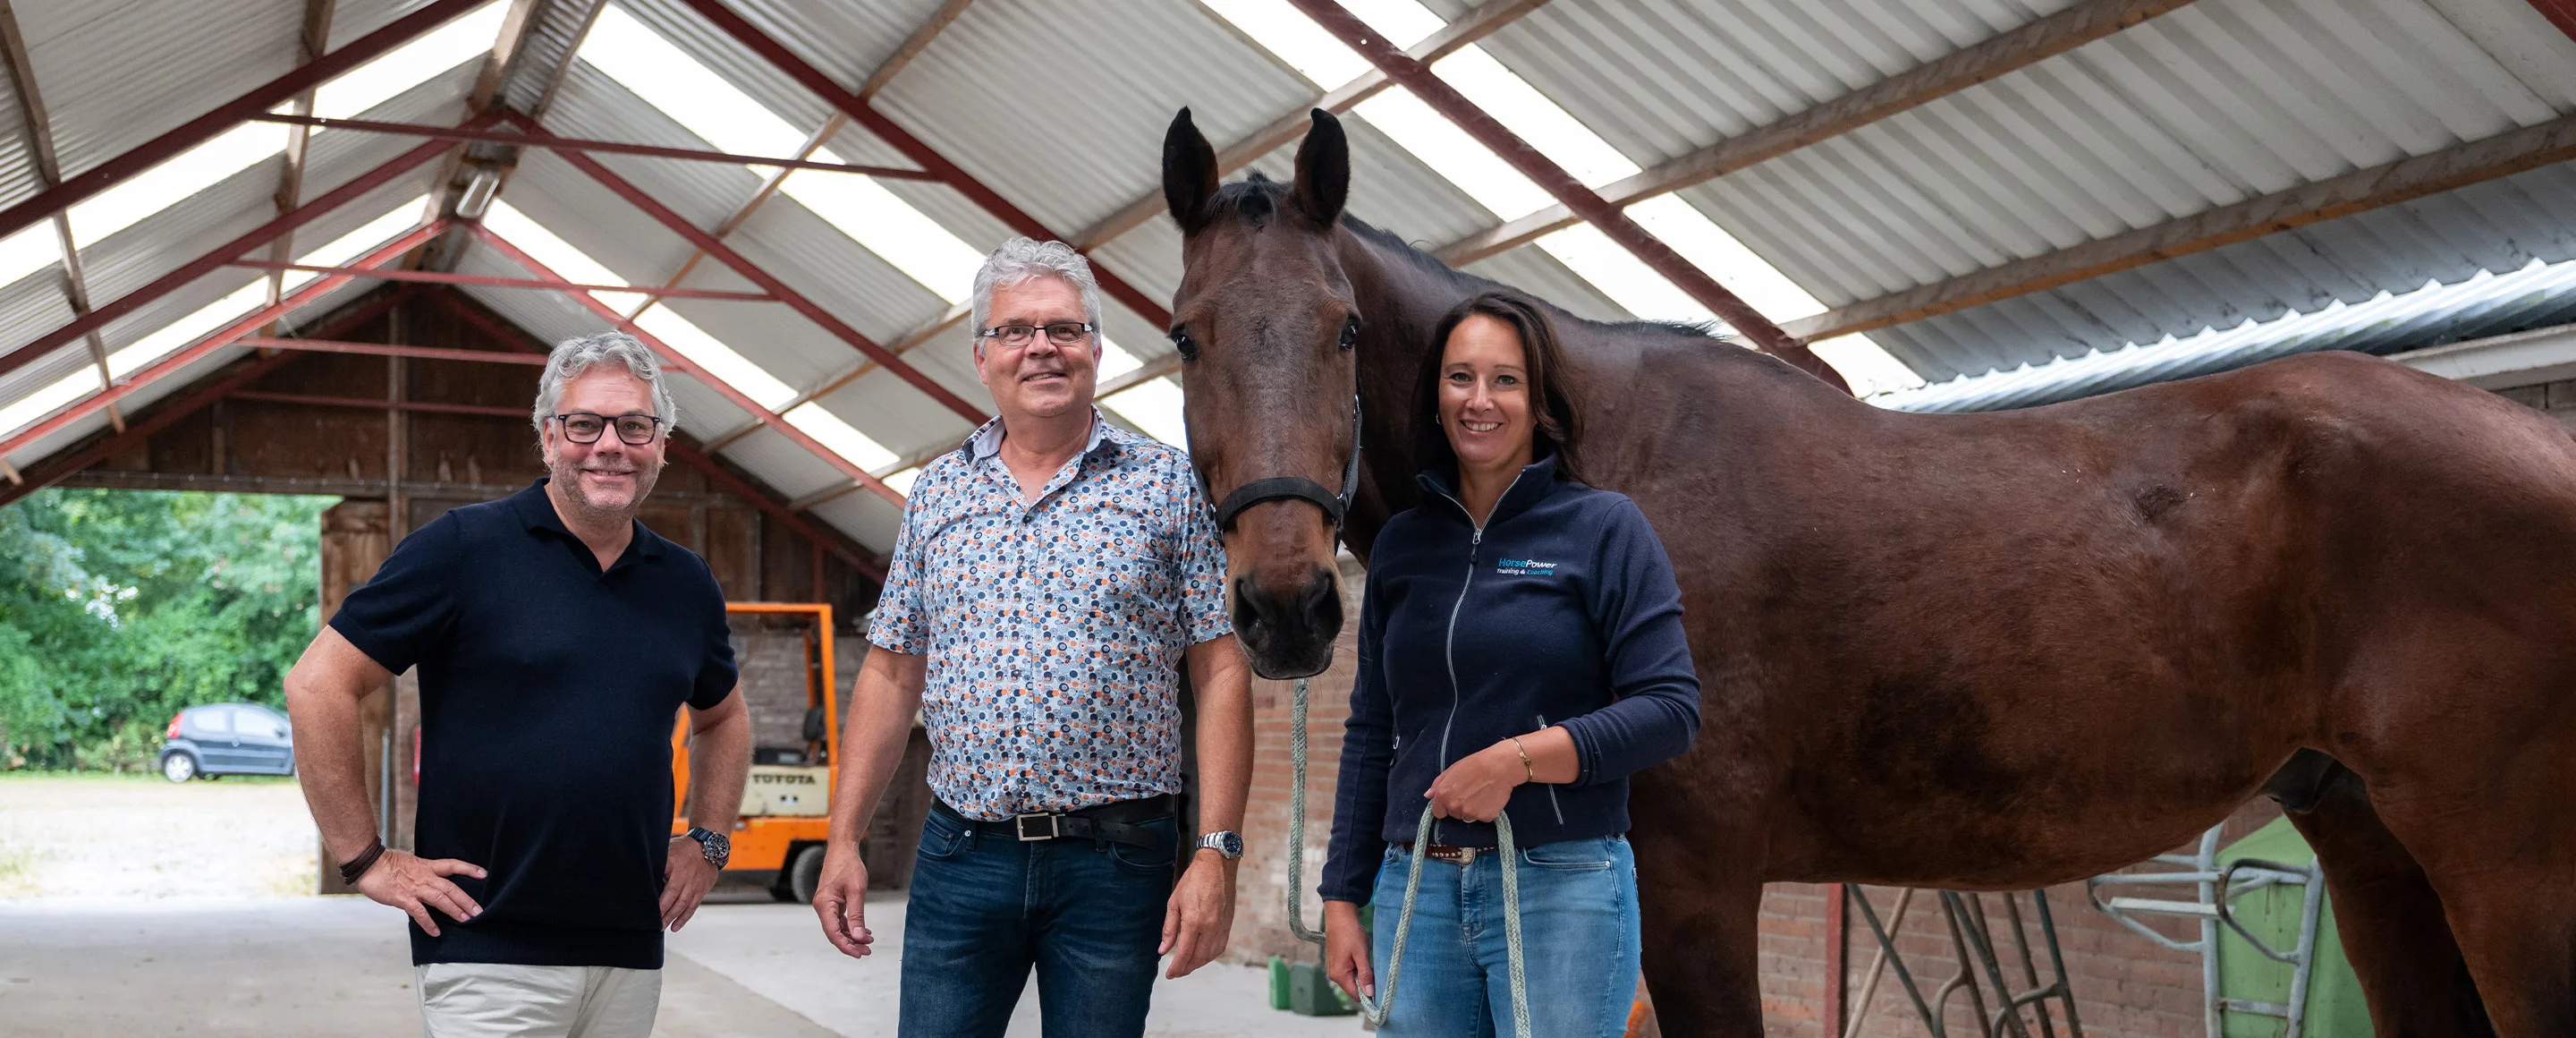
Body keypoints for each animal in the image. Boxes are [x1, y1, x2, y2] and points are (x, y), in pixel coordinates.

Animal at [1169, 109, 2576, 1035]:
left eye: (1346, 329)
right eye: (1187, 335)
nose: (1288, 609)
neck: (1597, 456)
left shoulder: (1693, 890)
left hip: (2507, 874)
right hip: (2372, 843)